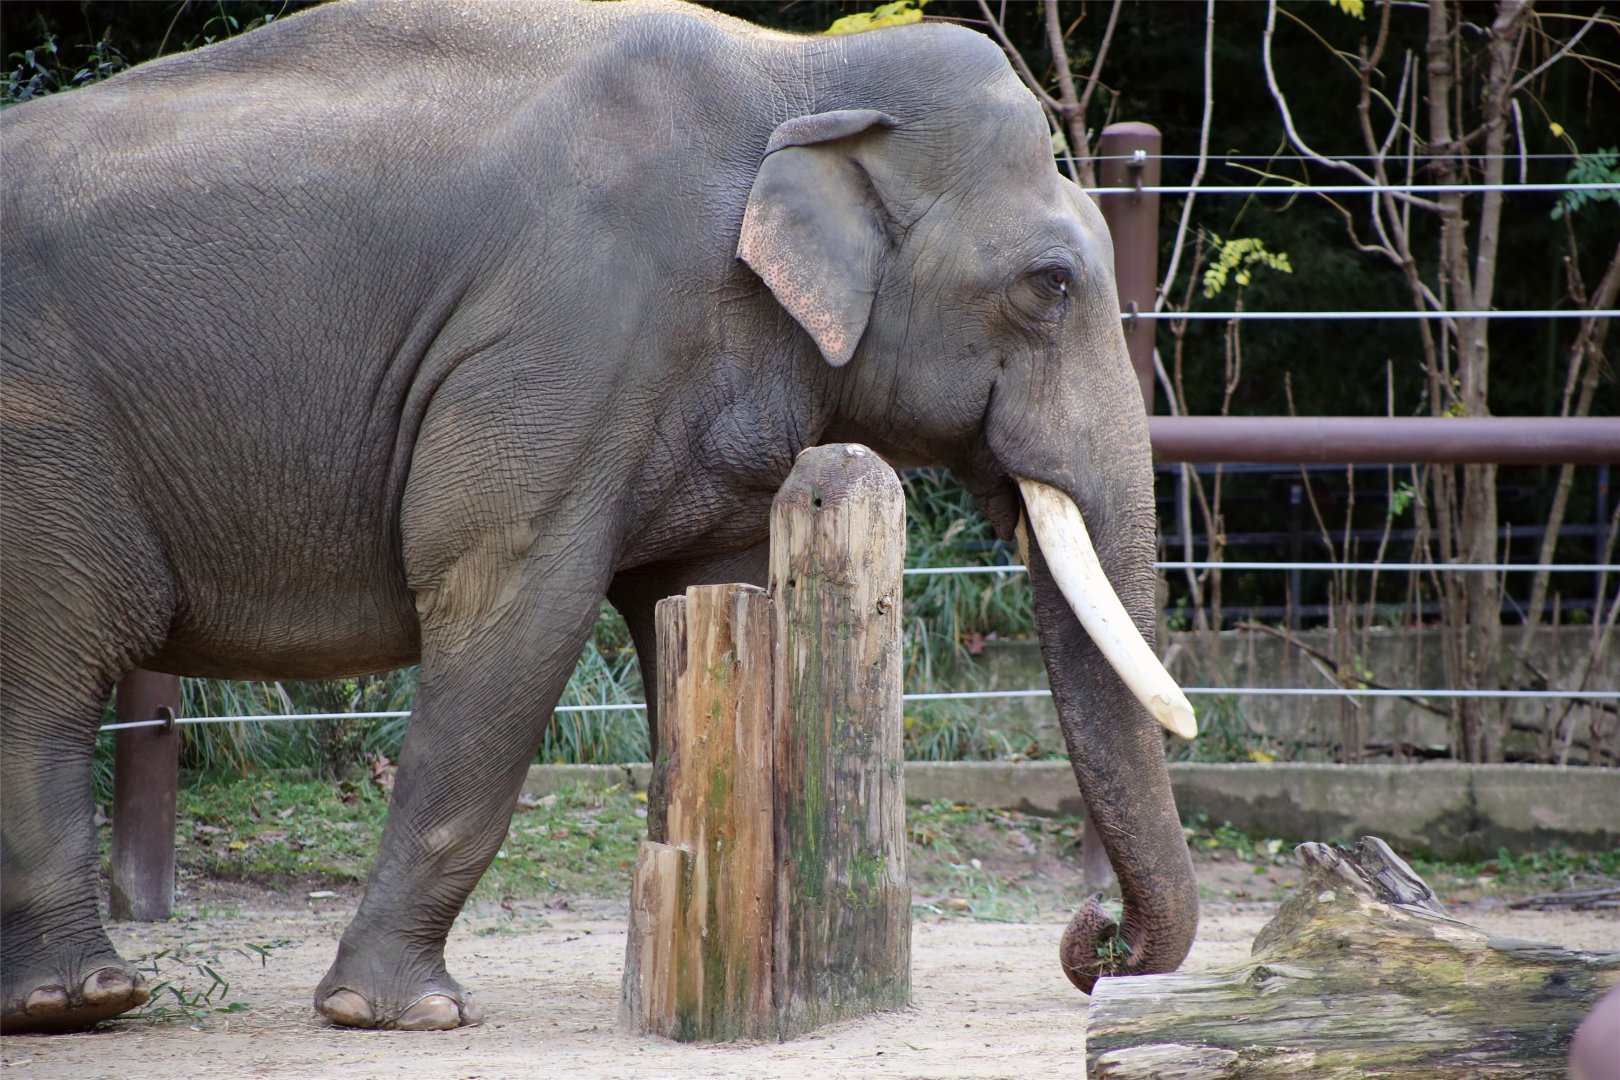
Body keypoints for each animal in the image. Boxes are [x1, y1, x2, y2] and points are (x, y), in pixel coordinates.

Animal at [0, 0, 1198, 1033]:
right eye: (1049, 284)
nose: (1093, 938)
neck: (801, 70)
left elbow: (708, 602)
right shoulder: (570, 327)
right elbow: (510, 599)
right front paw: (398, 1014)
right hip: (45, 436)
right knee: (48, 671)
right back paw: (82, 1001)